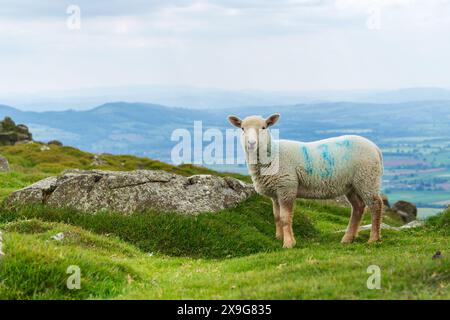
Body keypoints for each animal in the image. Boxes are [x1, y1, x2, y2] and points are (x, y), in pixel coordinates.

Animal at [229, 114, 384, 249]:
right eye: (242, 128)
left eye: (264, 127)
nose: (251, 143)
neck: (273, 154)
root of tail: (376, 148)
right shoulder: (275, 193)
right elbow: (277, 217)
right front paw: (279, 238)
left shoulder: (287, 187)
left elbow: (285, 218)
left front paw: (289, 243)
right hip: (351, 184)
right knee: (358, 207)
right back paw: (348, 238)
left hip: (367, 178)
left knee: (375, 205)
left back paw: (373, 239)